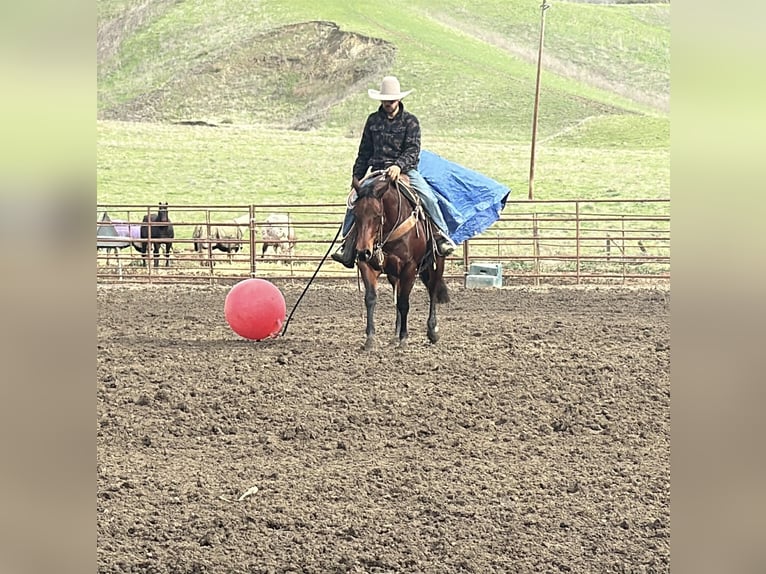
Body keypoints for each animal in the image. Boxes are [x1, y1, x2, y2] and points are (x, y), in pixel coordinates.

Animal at [350, 171, 450, 350]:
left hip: (437, 263)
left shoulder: (409, 268)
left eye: (377, 215)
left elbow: (404, 303)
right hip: (393, 274)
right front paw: (370, 338)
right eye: (355, 214)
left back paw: (432, 330)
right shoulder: (367, 265)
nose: (362, 252)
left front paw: (404, 339)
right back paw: (395, 335)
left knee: (432, 290)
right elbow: (371, 298)